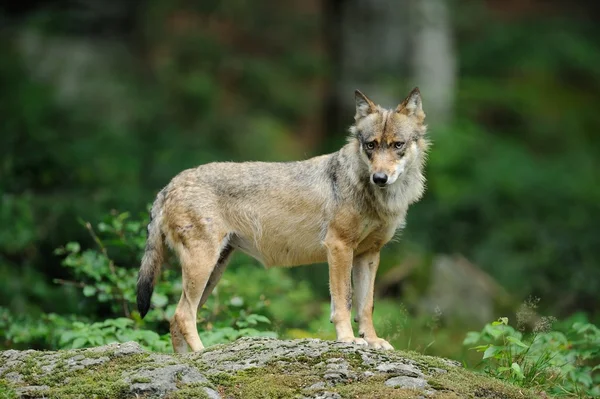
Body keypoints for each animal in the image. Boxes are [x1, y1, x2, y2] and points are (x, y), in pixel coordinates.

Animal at [137, 88, 426, 354]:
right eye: (371, 145)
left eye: (397, 145)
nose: (380, 178)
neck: (375, 195)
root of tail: (170, 185)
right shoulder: (339, 247)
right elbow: (343, 302)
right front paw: (348, 339)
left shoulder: (369, 255)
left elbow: (366, 306)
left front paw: (372, 341)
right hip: (203, 266)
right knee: (183, 315)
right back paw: (202, 353)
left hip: (214, 270)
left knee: (176, 318)